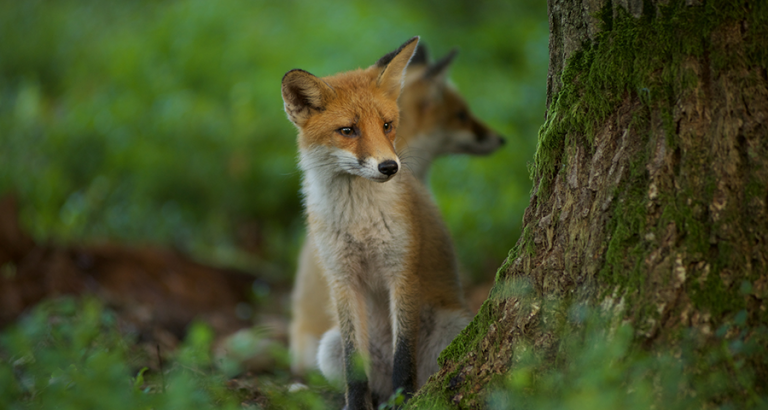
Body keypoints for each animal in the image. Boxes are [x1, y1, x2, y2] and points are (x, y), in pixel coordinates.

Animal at [282, 37, 480, 406]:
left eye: (387, 125)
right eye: (348, 130)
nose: (390, 167)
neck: (359, 220)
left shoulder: (402, 272)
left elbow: (403, 355)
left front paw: (405, 401)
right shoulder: (342, 280)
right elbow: (354, 366)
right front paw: (357, 405)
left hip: (452, 328)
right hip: (326, 348)